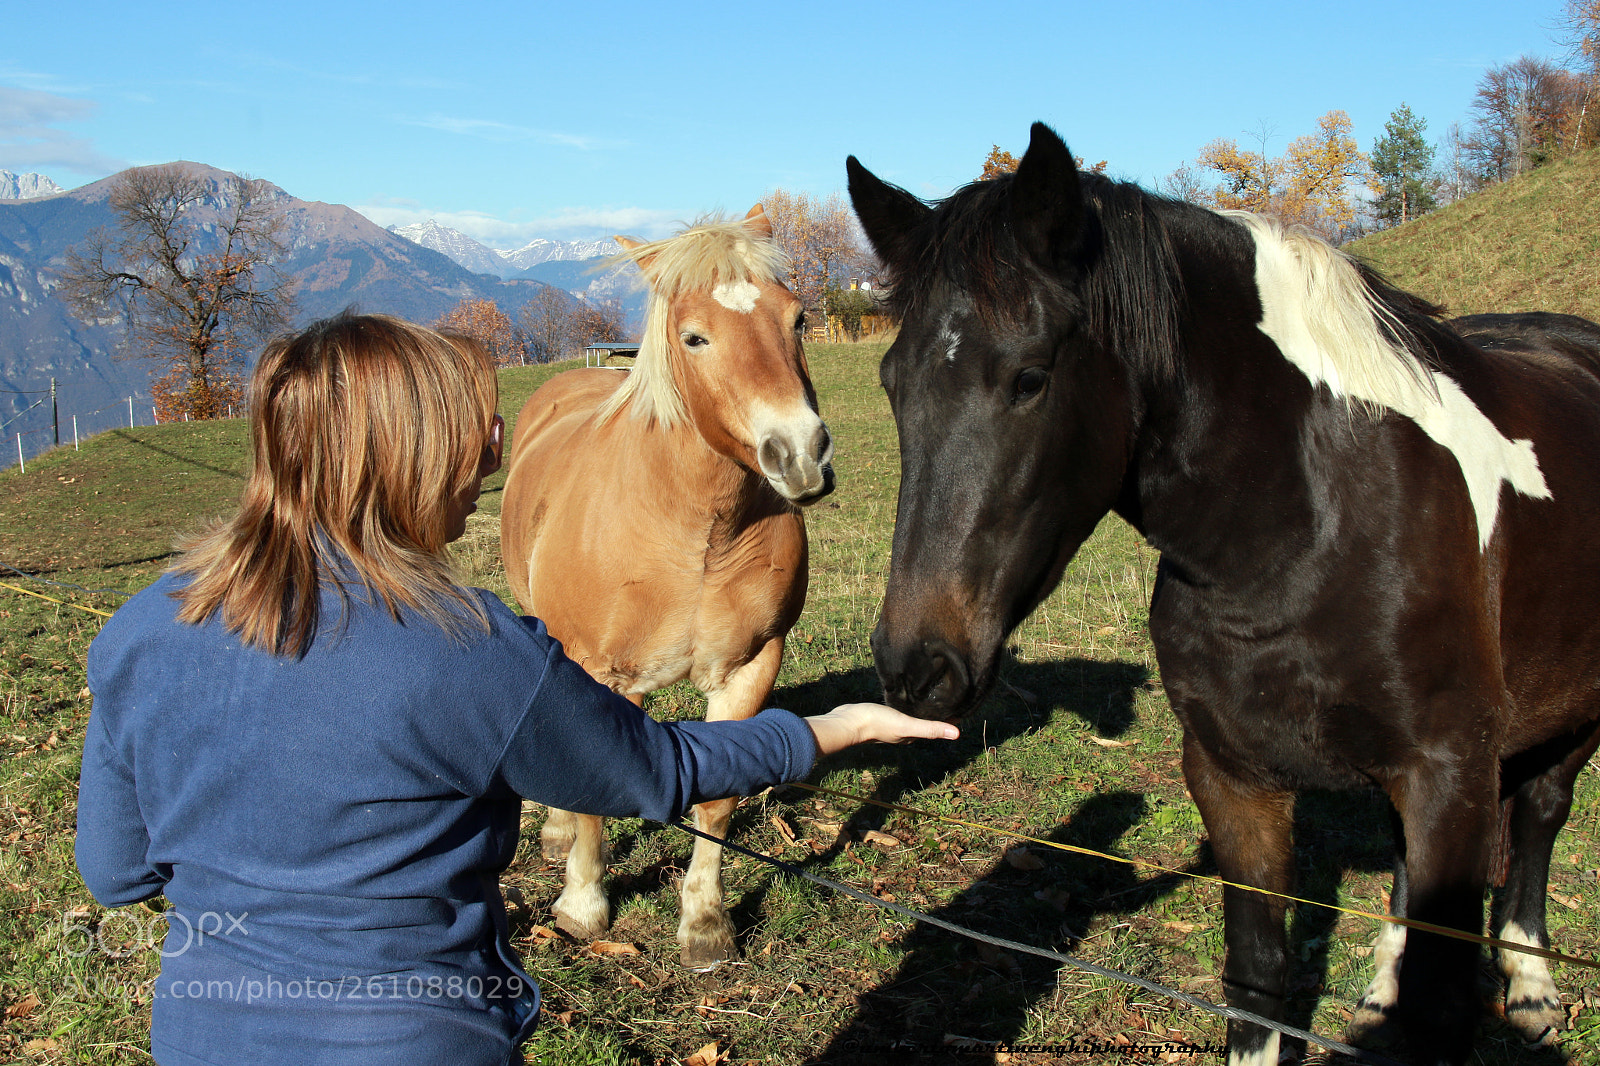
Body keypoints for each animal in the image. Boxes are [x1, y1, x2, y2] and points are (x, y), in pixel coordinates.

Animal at [500, 205, 834, 969]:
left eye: (798, 318)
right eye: (694, 336)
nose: (800, 454)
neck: (693, 529)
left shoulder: (750, 667)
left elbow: (717, 801)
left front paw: (705, 923)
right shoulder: (601, 672)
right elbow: (593, 793)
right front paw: (583, 906)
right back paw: (556, 835)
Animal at [846, 123, 1600, 1066]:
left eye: (1028, 377)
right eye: (891, 383)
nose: (917, 667)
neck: (1307, 529)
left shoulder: (1452, 775)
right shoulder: (1233, 778)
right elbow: (1259, 978)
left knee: (1538, 818)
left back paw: (1531, 987)